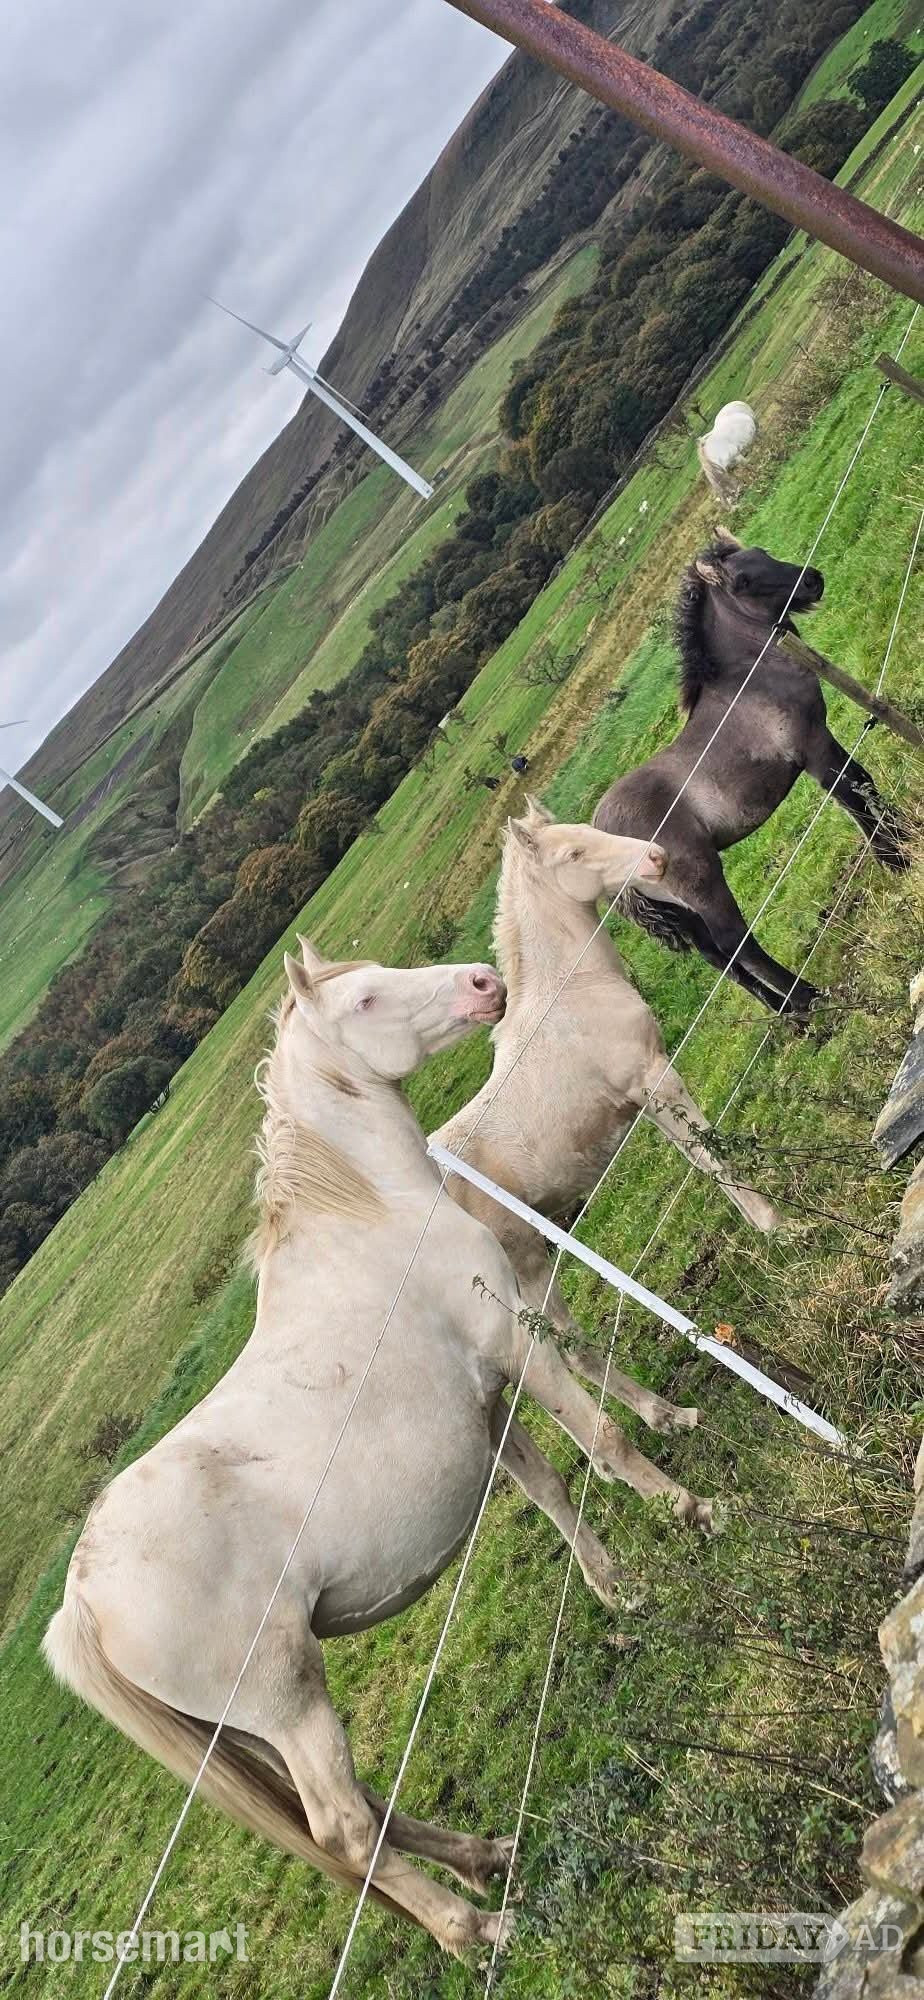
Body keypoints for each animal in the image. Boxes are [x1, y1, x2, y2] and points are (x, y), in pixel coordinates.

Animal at [43, 940, 710, 1956]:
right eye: (363, 997)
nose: (484, 983)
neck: (372, 1220)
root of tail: (81, 1599)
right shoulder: (516, 1347)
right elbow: (602, 1442)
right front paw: (694, 1511)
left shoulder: (486, 1405)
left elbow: (556, 1491)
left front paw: (623, 1590)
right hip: (289, 1704)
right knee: (347, 1832)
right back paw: (479, 1930)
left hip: (256, 1731)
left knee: (371, 1813)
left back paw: (487, 1857)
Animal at [434, 804, 779, 1415]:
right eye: (572, 853)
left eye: (586, 831)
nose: (656, 857)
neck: (570, 992)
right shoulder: (656, 1079)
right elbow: (714, 1159)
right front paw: (780, 1227)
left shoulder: (646, 1093)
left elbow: (699, 1158)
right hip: (524, 1267)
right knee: (566, 1351)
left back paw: (668, 1418)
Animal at [593, 535, 909, 1017]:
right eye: (742, 580)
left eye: (764, 553)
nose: (812, 580)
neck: (750, 677)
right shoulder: (812, 749)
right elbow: (853, 796)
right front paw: (898, 860)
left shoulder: (822, 739)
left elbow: (861, 787)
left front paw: (904, 845)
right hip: (703, 885)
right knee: (735, 944)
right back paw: (811, 1000)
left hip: (683, 912)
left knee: (718, 959)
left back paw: (790, 1015)